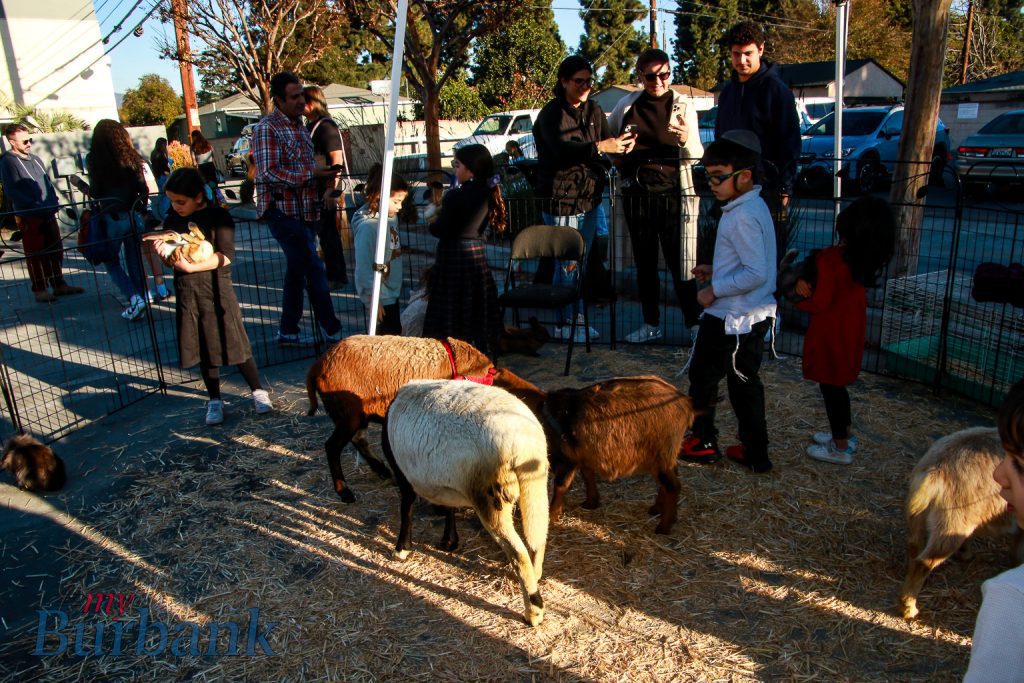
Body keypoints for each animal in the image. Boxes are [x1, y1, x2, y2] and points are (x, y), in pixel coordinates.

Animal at [305, 334, 529, 503]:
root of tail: (317, 365)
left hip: (354, 414)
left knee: (358, 440)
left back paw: (382, 471)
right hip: (348, 413)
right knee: (333, 447)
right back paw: (344, 492)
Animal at [382, 379, 549, 626]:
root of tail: (523, 444)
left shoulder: (403, 475)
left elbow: (407, 508)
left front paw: (402, 548)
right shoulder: (446, 485)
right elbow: (448, 508)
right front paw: (449, 541)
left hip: (489, 496)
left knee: (518, 553)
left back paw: (533, 612)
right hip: (535, 486)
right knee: (537, 538)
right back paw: (535, 579)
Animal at [898, 426, 1023, 619]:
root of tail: (936, 470)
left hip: (921, 517)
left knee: (914, 547)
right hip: (951, 522)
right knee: (925, 561)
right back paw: (909, 608)